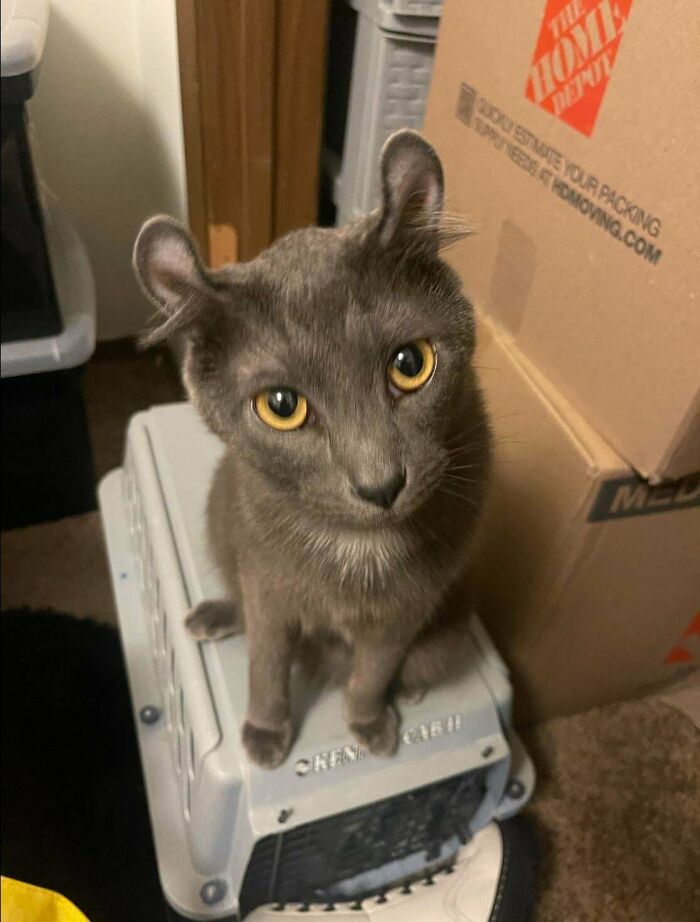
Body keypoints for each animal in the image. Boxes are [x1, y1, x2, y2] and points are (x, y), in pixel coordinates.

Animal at [134, 129, 490, 768]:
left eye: (410, 364)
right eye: (281, 405)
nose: (381, 484)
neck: (357, 546)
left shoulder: (405, 608)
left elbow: (373, 669)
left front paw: (369, 723)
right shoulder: (268, 580)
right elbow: (267, 660)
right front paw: (265, 732)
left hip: (445, 632)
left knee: (417, 661)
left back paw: (409, 689)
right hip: (222, 519)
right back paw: (213, 615)